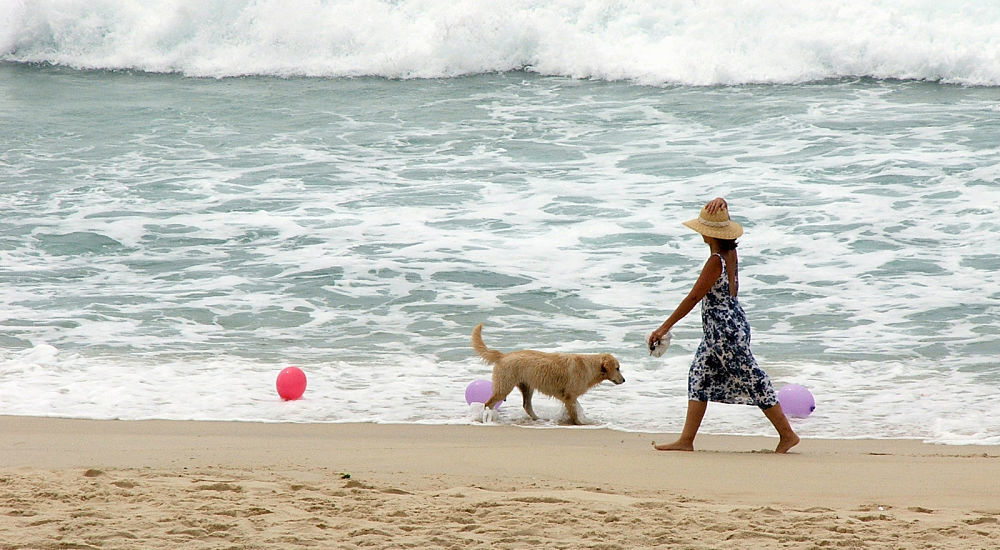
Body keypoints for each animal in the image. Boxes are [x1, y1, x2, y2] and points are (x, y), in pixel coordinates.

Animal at [470, 324, 624, 426]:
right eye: (617, 368)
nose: (623, 380)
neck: (590, 367)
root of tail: (503, 356)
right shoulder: (570, 396)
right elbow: (574, 414)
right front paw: (579, 423)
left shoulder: (570, 397)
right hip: (504, 386)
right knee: (488, 403)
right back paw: (487, 418)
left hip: (527, 386)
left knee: (527, 405)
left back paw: (538, 419)